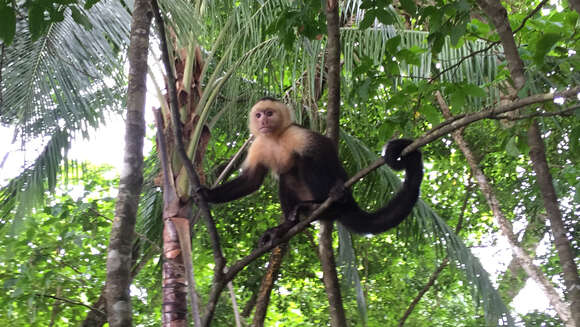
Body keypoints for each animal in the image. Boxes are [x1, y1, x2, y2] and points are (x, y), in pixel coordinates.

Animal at [202, 97, 424, 243]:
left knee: (305, 161)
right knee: (286, 175)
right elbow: (251, 180)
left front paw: (340, 185)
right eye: (258, 115)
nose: (263, 120)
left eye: (269, 113)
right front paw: (207, 195)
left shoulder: (295, 132)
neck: (274, 136)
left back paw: (329, 200)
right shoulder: (257, 144)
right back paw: (287, 226)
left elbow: (324, 147)